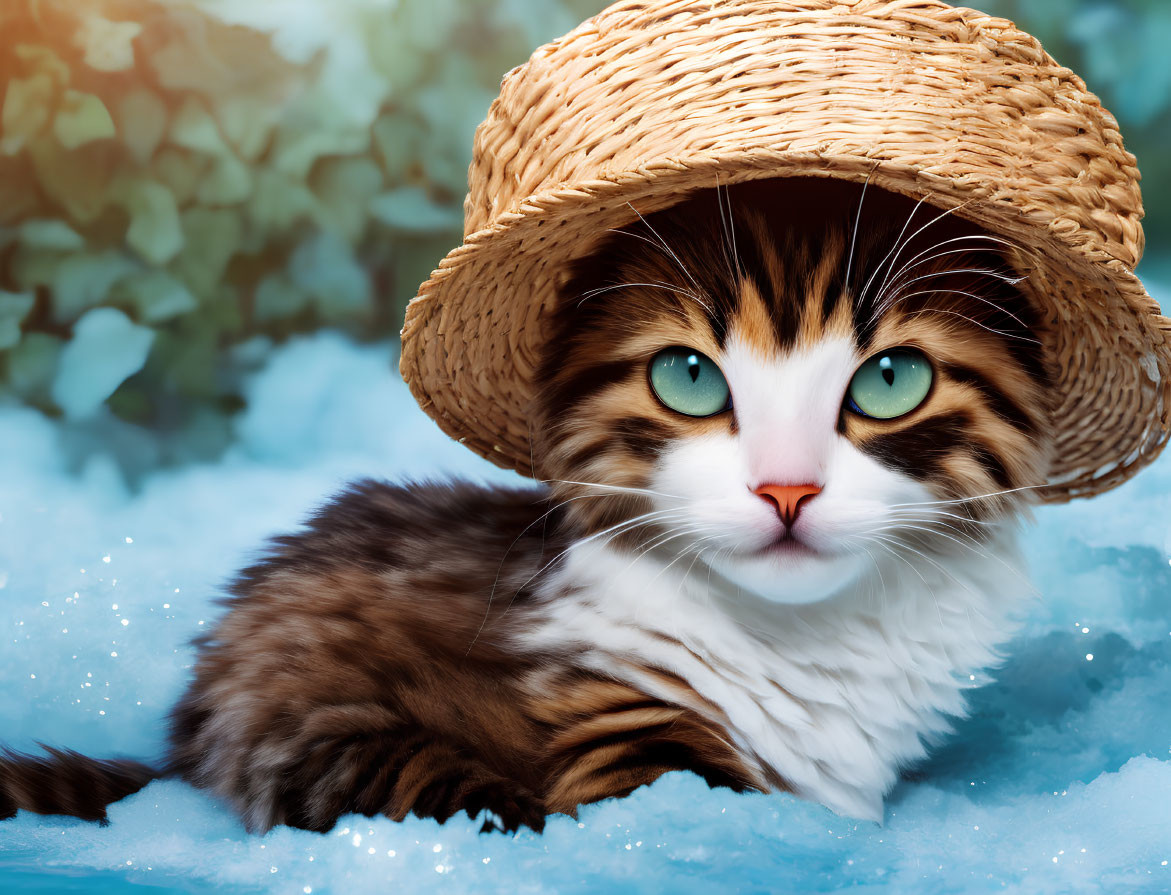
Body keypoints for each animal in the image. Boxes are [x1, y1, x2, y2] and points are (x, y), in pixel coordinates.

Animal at [0, 174, 1053, 834]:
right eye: (687, 379)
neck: (809, 643)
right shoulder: (611, 726)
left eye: (887, 381)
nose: (785, 488)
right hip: (313, 724)